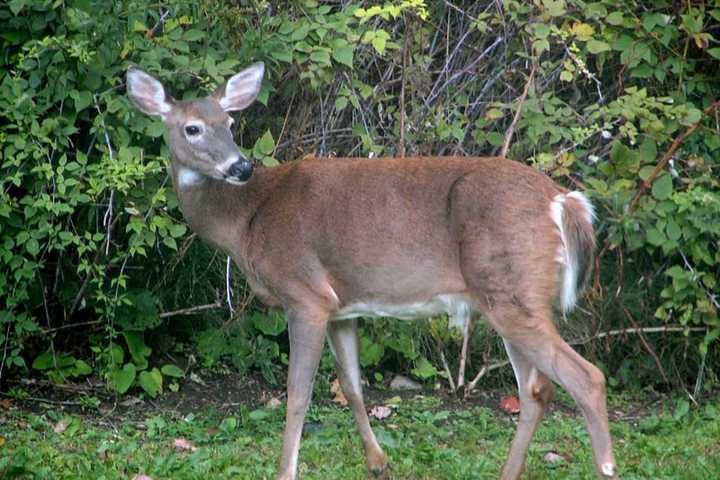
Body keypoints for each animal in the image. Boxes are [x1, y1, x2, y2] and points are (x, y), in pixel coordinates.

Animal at [126, 63, 616, 480]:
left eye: (230, 124)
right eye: (192, 127)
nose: (240, 166)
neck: (247, 219)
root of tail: (564, 201)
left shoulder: (304, 292)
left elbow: (298, 394)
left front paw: (287, 471)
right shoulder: (341, 306)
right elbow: (352, 384)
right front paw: (378, 462)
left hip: (512, 289)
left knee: (586, 377)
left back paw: (606, 467)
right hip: (507, 296)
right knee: (536, 390)